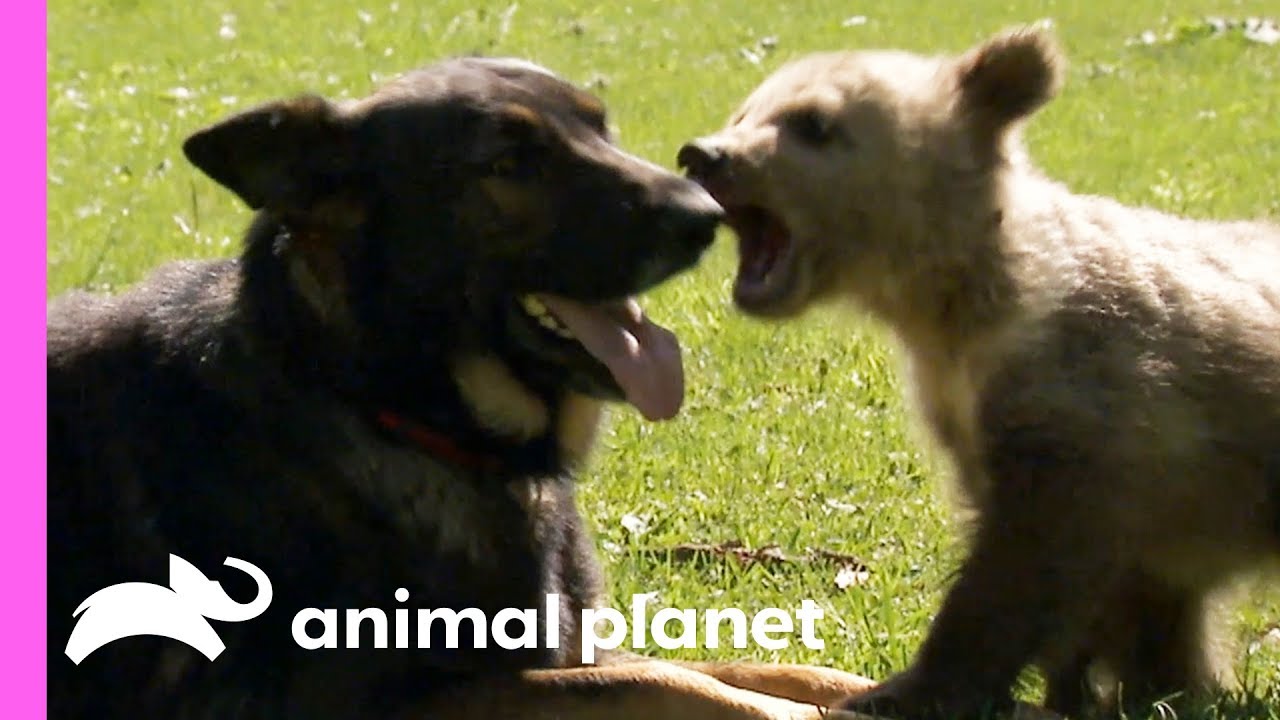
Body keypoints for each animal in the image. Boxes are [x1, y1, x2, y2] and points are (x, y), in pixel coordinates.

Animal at [47, 57, 880, 717]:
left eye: (601, 129)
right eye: (509, 163)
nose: (707, 215)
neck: (381, 407)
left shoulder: (572, 650)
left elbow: (766, 668)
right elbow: (665, 686)